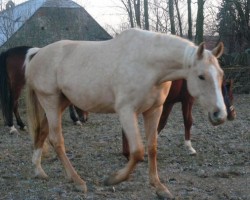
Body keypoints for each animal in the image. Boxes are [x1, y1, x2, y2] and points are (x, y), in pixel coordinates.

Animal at [24, 28, 227, 199]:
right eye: (201, 76)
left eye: (221, 74)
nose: (220, 115)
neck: (148, 63)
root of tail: (38, 53)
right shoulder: (127, 112)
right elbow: (137, 152)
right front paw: (113, 179)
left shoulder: (154, 111)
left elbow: (152, 148)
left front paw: (159, 187)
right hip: (50, 101)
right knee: (57, 140)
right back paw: (77, 181)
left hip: (61, 102)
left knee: (43, 131)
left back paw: (39, 170)